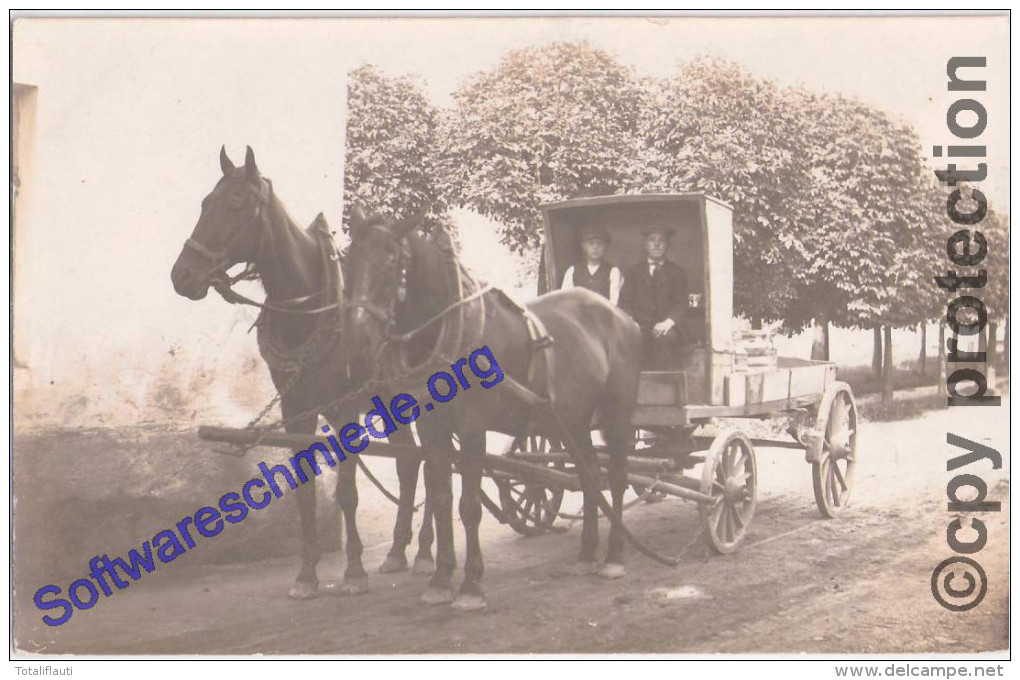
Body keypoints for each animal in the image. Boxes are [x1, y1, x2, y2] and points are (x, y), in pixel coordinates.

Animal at [170, 146, 430, 599]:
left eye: (235, 204)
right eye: (205, 203)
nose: (182, 275)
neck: (311, 305)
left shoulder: (344, 411)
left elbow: (347, 493)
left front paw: (353, 571)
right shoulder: (296, 411)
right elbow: (304, 493)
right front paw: (307, 574)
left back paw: (428, 552)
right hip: (390, 400)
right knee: (409, 460)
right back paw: (398, 550)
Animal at [346, 214, 640, 611]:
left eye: (392, 260)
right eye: (349, 259)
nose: (358, 339)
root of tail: (623, 317)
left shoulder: (472, 427)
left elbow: (469, 505)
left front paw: (471, 585)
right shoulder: (432, 427)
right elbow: (442, 499)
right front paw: (441, 579)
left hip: (616, 415)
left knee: (618, 478)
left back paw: (613, 556)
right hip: (572, 421)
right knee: (590, 474)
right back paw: (585, 554)